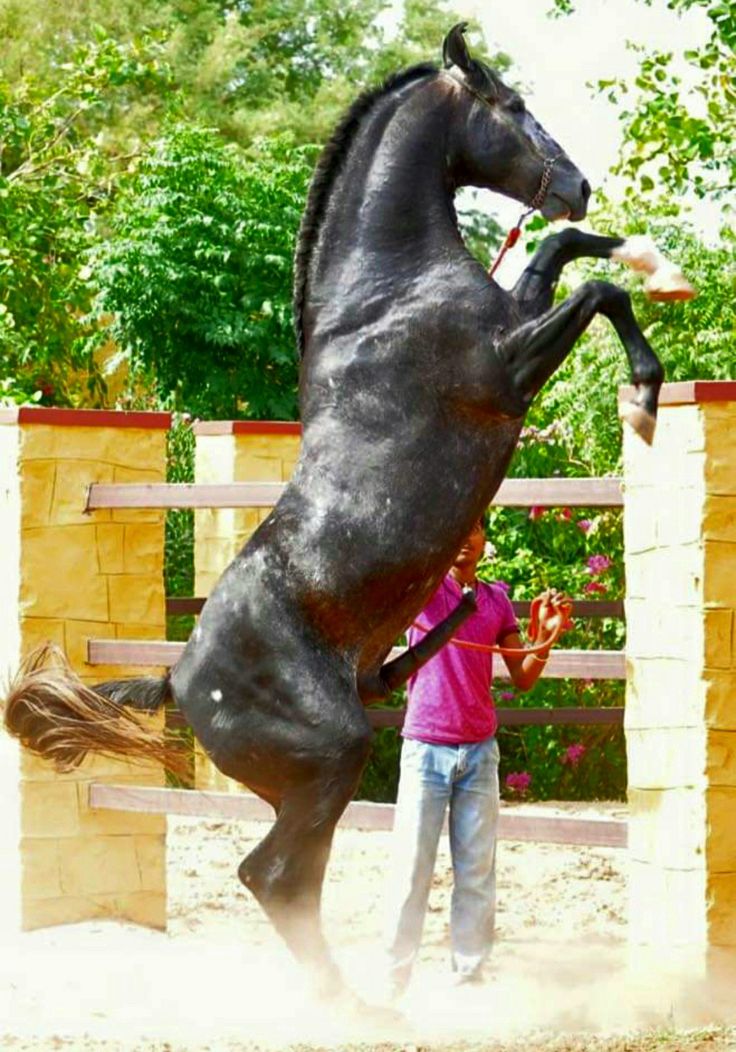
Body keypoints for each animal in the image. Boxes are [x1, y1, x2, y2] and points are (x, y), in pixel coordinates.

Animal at [4, 20, 660, 997]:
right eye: (511, 106)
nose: (575, 180)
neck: (388, 289)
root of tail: (179, 680)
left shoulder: (518, 319)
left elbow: (559, 254)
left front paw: (625, 243)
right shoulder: (505, 368)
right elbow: (593, 292)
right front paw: (647, 392)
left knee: (289, 881)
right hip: (332, 756)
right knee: (272, 875)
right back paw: (357, 1007)